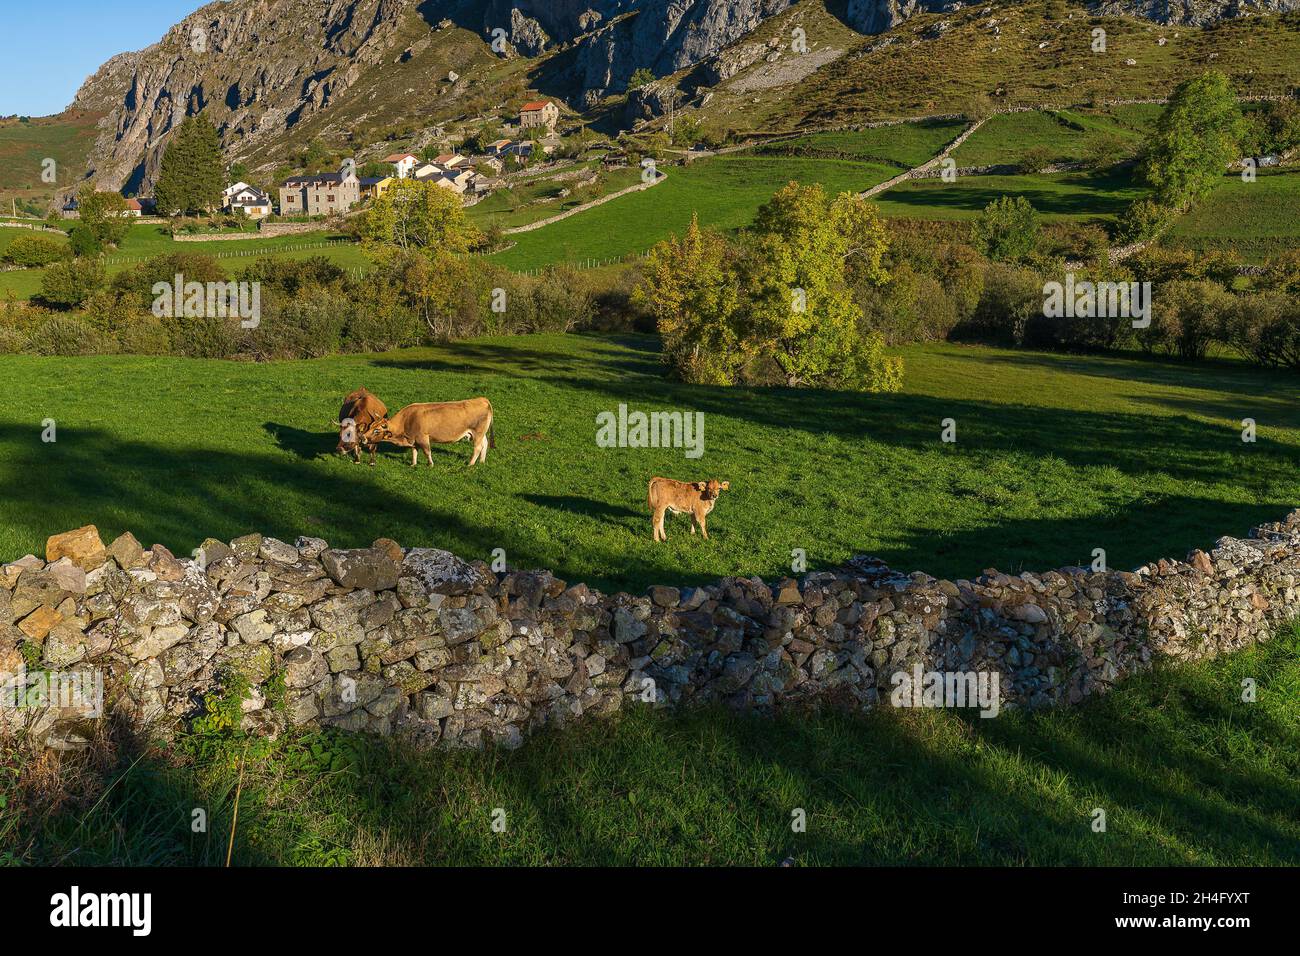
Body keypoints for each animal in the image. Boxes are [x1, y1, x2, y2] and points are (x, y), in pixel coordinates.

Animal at [364, 395, 493, 468]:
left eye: (376, 430)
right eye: (370, 426)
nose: (363, 437)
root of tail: (482, 399)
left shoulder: (423, 438)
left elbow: (427, 452)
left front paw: (430, 464)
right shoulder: (413, 439)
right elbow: (414, 452)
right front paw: (413, 464)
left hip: (477, 432)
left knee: (478, 447)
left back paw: (470, 464)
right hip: (481, 434)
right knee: (485, 444)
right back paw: (482, 461)